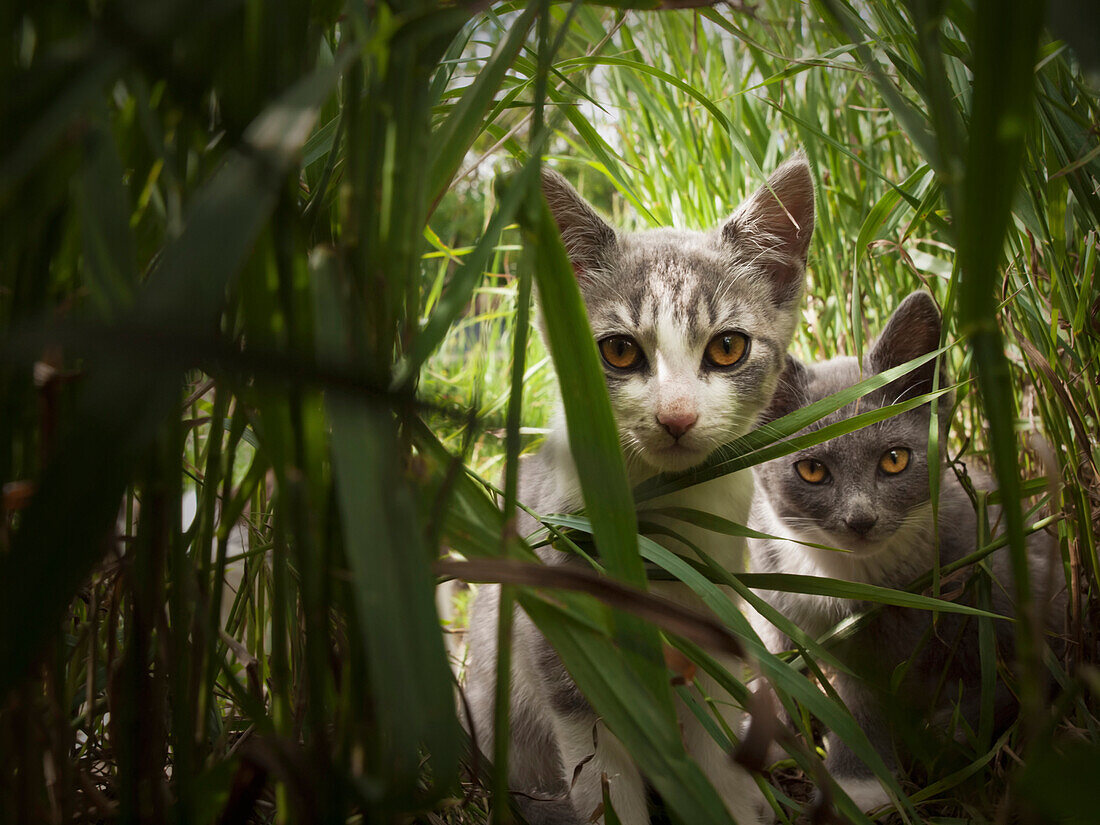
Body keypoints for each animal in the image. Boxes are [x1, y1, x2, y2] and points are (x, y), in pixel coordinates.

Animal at [464, 156, 818, 825]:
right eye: (621, 351)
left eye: (727, 347)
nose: (676, 415)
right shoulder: (564, 649)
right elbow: (601, 780)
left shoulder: (715, 629)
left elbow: (718, 757)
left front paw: (729, 804)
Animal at [743, 290, 1060, 814]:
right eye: (812, 470)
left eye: (894, 460)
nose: (861, 519)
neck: (832, 568)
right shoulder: (765, 588)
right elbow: (768, 661)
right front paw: (750, 741)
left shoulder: (903, 616)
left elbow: (864, 698)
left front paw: (858, 784)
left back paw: (953, 729)